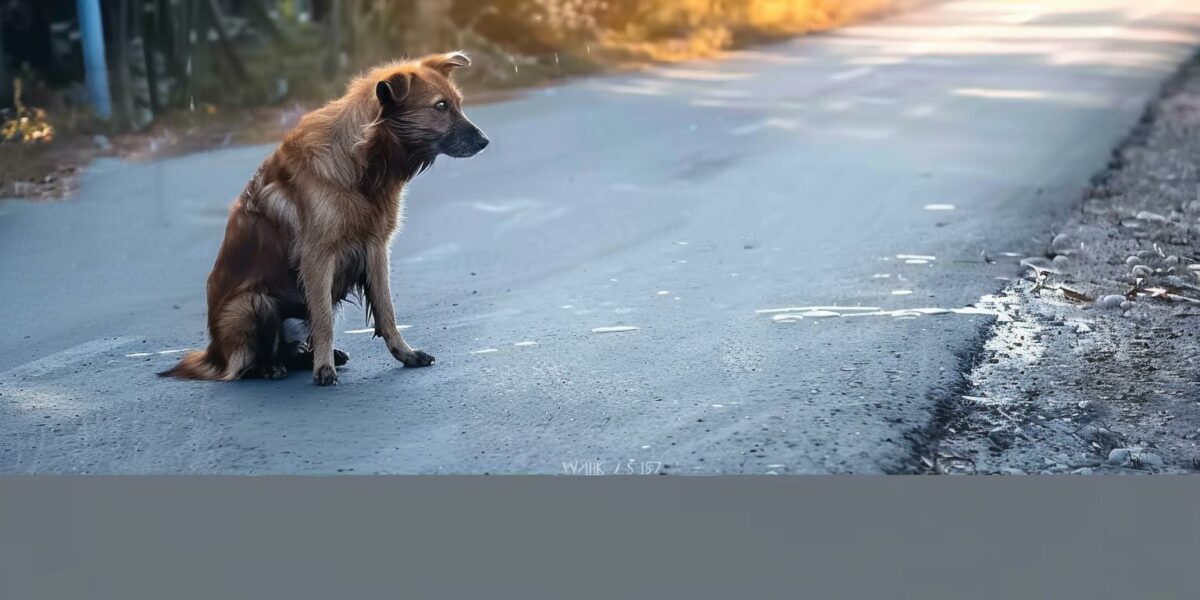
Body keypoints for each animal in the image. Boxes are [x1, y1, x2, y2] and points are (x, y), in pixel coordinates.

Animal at [164, 54, 487, 386]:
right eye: (440, 106)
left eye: (457, 103)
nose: (485, 141)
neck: (363, 163)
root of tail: (212, 355)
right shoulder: (317, 258)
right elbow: (324, 322)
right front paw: (323, 368)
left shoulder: (375, 248)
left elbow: (387, 312)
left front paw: (405, 354)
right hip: (252, 304)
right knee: (249, 362)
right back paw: (273, 366)